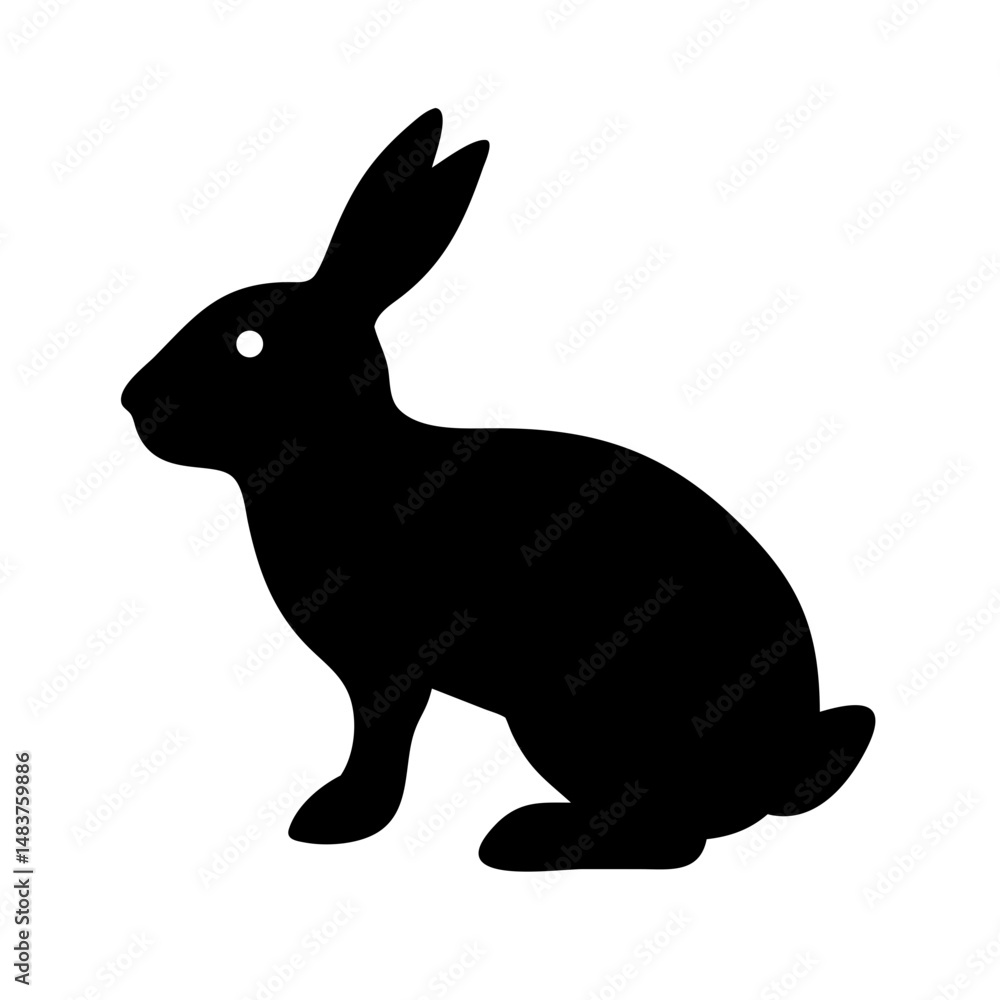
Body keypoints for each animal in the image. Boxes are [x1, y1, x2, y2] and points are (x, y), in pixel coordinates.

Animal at [121, 108, 874, 870]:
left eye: (247, 344)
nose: (132, 402)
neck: (347, 459)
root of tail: (775, 769)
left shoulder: (387, 670)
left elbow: (382, 739)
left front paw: (336, 818)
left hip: (561, 713)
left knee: (674, 836)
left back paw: (525, 839)